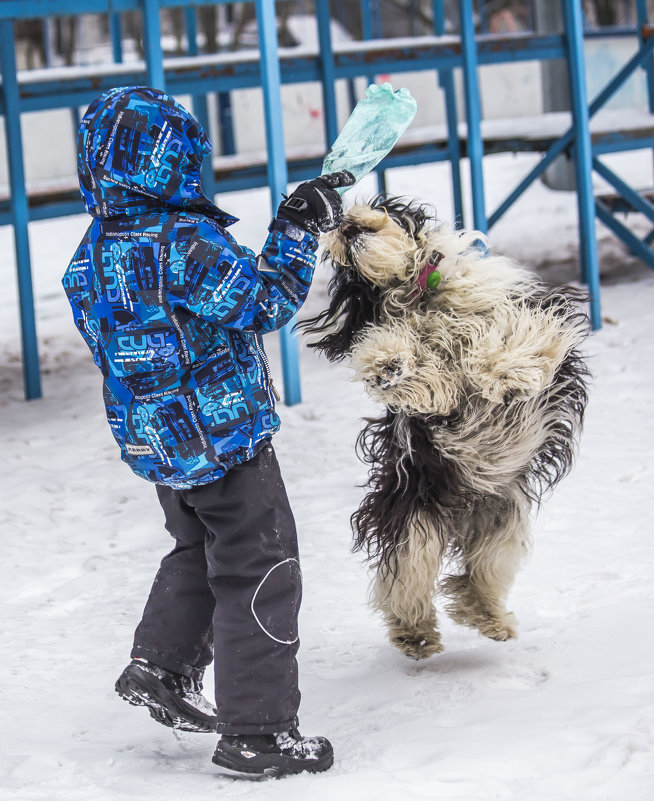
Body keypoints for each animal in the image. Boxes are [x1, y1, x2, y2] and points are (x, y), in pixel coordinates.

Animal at [300, 197, 592, 660]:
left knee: (478, 578)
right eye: (345, 270)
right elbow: (425, 371)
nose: (342, 224)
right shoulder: (436, 398)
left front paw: (503, 372)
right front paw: (388, 364)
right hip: (413, 521)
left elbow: (507, 332)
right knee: (407, 583)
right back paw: (415, 633)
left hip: (503, 528)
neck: (420, 293)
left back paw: (491, 619)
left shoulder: (531, 308)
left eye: (379, 204)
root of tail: (460, 517)